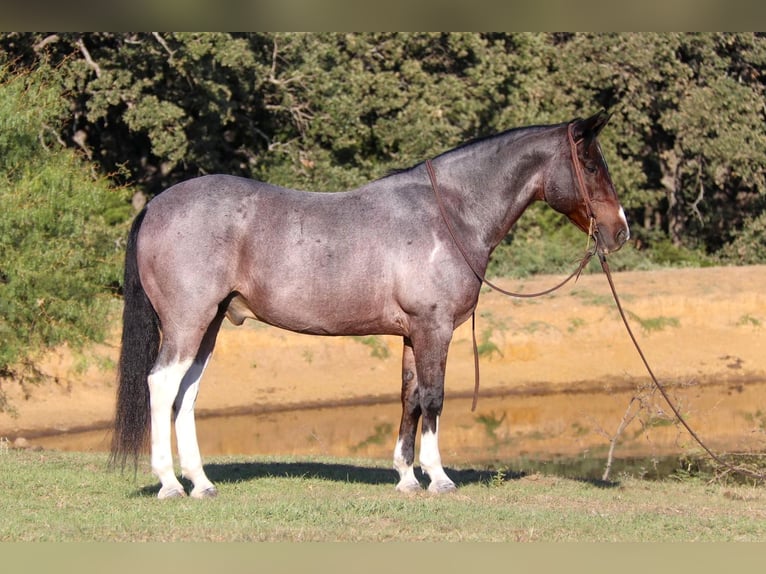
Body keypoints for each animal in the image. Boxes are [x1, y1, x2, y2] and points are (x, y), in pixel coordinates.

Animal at [111, 110, 632, 498]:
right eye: (591, 166)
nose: (620, 231)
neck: (449, 214)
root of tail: (157, 204)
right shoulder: (434, 328)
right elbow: (434, 397)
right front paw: (438, 478)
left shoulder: (412, 335)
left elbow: (409, 398)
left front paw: (405, 477)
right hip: (188, 323)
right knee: (162, 385)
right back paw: (170, 484)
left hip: (211, 324)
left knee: (186, 393)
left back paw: (200, 483)